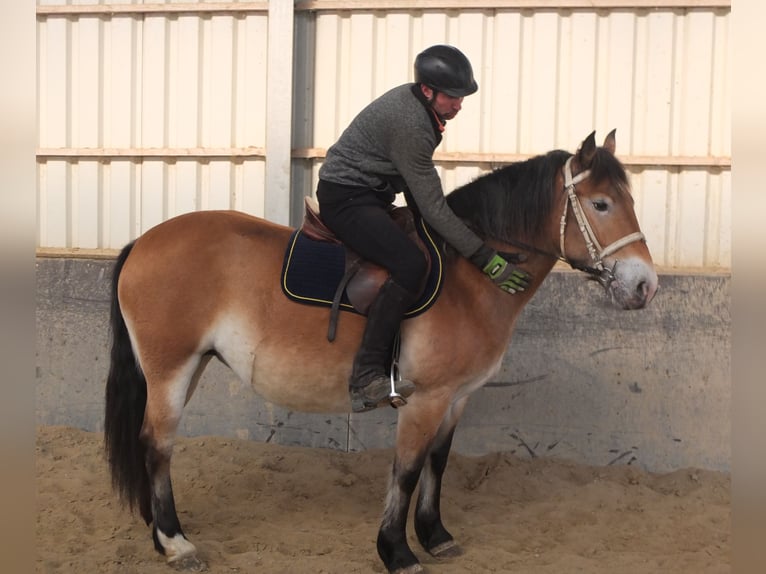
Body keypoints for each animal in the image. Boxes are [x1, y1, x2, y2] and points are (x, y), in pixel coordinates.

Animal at [103, 132, 660, 574]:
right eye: (601, 204)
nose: (645, 286)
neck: (469, 274)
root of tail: (142, 242)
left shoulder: (457, 397)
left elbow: (438, 462)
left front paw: (436, 537)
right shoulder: (424, 399)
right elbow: (407, 470)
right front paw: (397, 551)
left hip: (190, 365)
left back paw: (160, 533)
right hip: (170, 368)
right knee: (157, 444)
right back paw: (176, 543)